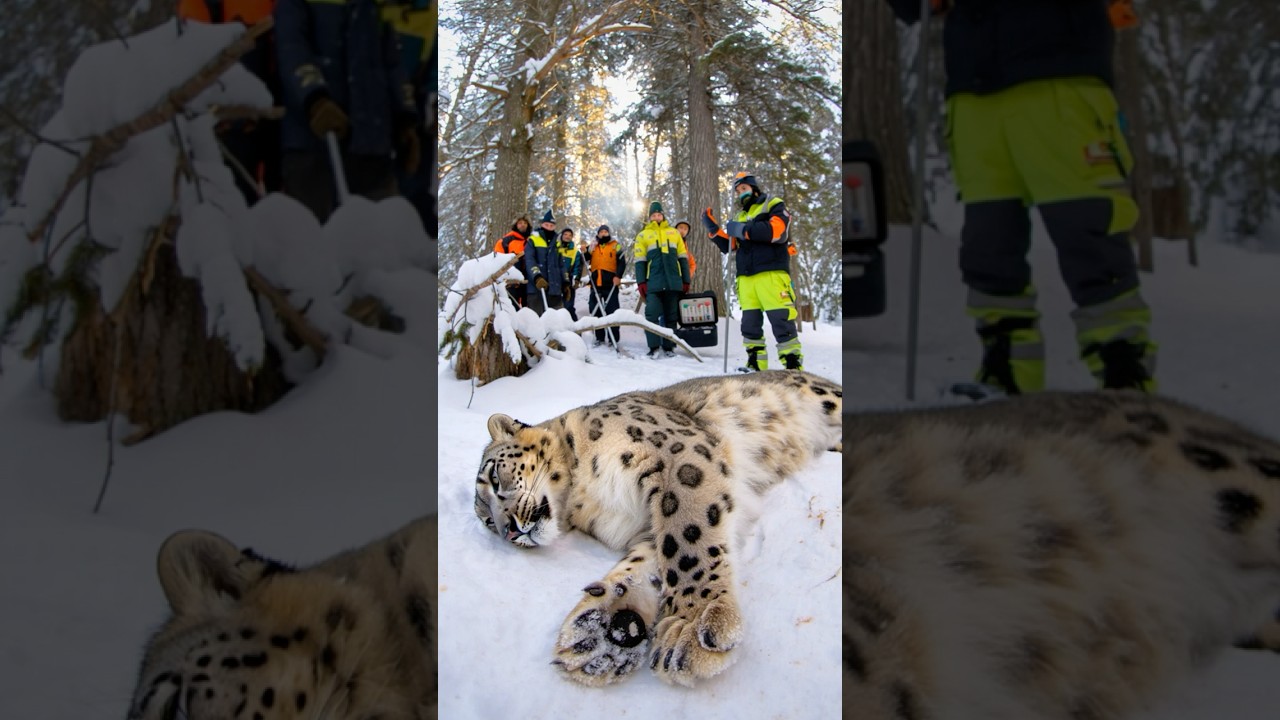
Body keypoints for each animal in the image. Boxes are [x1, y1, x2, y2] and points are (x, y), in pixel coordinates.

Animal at [472, 370, 842, 688]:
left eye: (494, 478)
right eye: (487, 522)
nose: (508, 531)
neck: (582, 498)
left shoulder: (676, 455)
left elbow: (687, 537)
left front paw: (693, 624)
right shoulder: (644, 527)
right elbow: (647, 562)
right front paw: (607, 632)